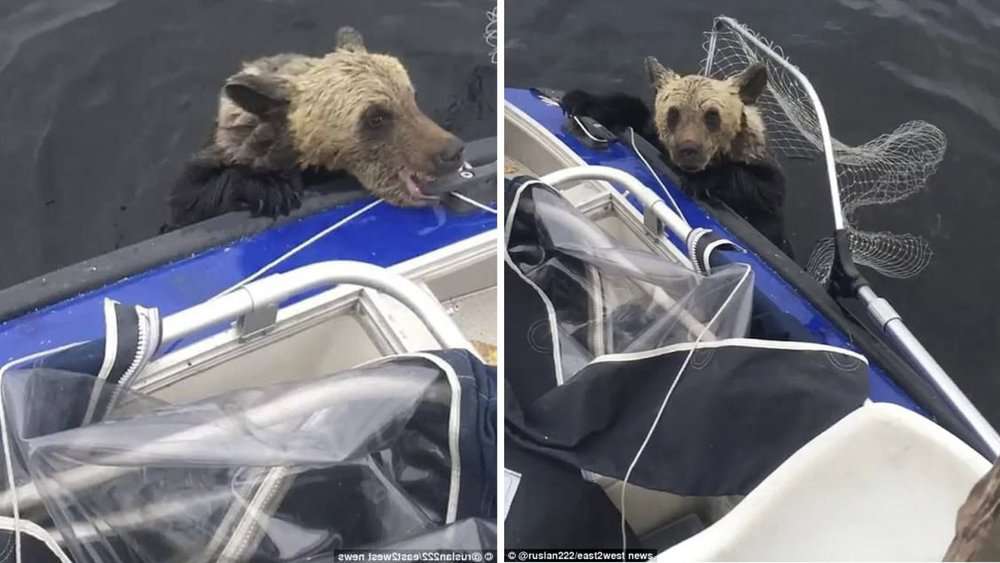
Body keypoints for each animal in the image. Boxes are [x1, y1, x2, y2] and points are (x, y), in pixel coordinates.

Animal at [561, 58, 792, 257]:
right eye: (673, 113)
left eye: (712, 115)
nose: (688, 148)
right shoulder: (651, 135)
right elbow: (632, 113)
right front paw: (581, 101)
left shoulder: (757, 166)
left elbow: (763, 191)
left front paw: (700, 180)